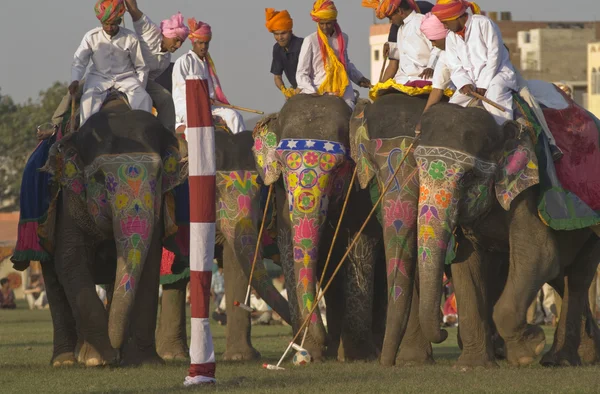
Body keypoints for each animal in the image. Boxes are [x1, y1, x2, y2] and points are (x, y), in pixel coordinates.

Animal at [24, 93, 185, 366]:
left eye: (159, 175)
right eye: (99, 177)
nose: (116, 352)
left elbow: (149, 265)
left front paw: (145, 361)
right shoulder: (68, 200)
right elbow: (70, 260)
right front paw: (96, 359)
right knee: (54, 281)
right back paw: (67, 360)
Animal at [252, 94, 384, 360]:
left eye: (339, 167)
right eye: (280, 163)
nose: (302, 349)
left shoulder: (363, 191)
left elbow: (361, 245)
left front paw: (357, 356)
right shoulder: (281, 196)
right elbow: (289, 246)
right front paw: (310, 353)